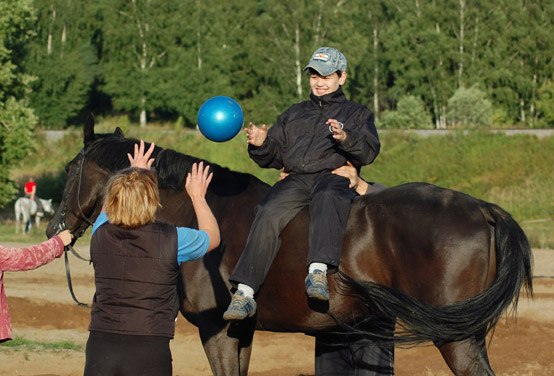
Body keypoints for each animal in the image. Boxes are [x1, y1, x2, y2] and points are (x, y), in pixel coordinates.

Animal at [47, 119, 532, 374]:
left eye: (70, 169)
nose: (56, 226)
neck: (199, 209)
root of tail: (484, 208)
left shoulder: (216, 330)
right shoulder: (240, 332)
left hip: (457, 340)